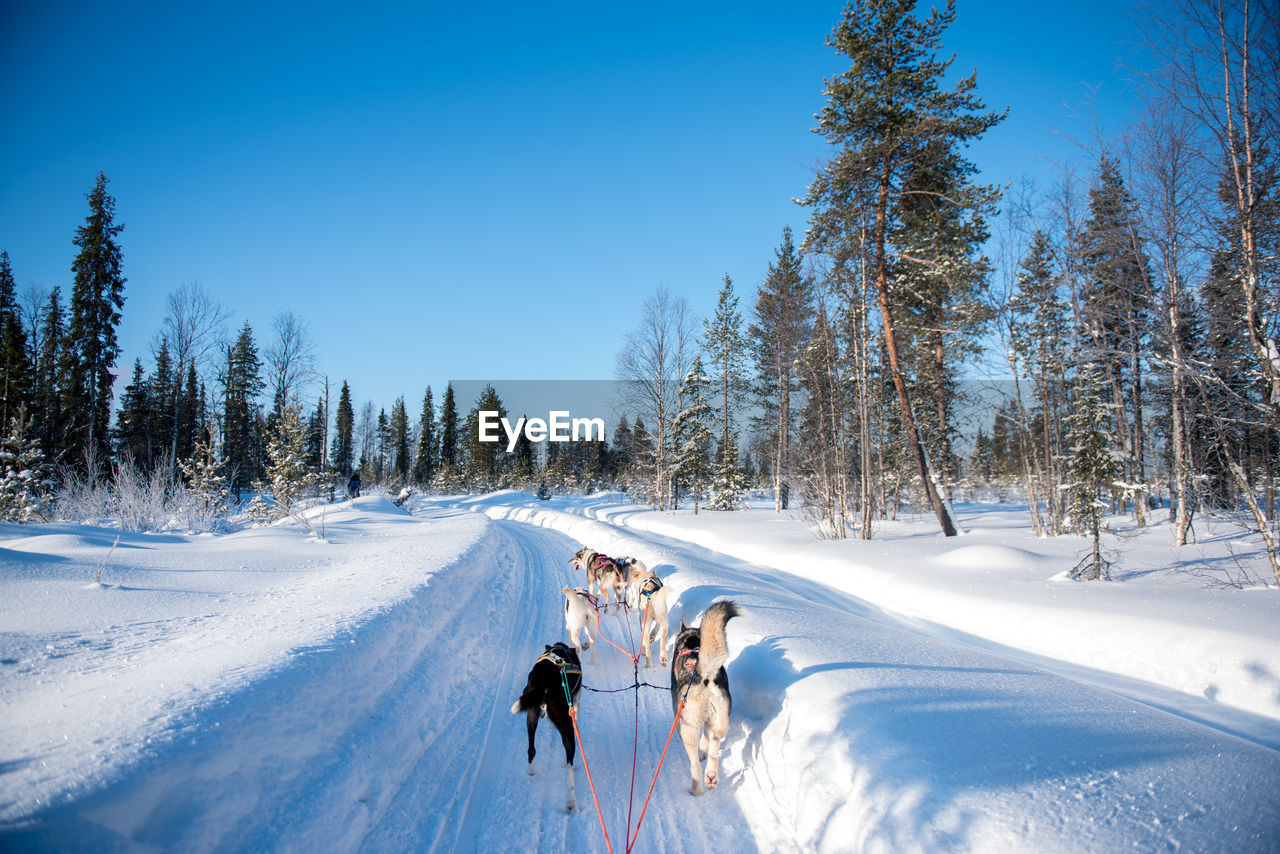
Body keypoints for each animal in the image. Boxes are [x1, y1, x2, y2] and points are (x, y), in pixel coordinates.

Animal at [514, 640, 586, 814]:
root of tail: (545, 679)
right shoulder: (575, 703)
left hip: (531, 715)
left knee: (531, 749)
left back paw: (532, 770)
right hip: (567, 728)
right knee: (569, 768)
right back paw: (571, 802)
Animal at [670, 601, 742, 793]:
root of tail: (705, 676)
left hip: (689, 728)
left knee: (695, 765)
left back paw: (697, 789)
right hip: (718, 720)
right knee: (713, 747)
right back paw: (711, 775)